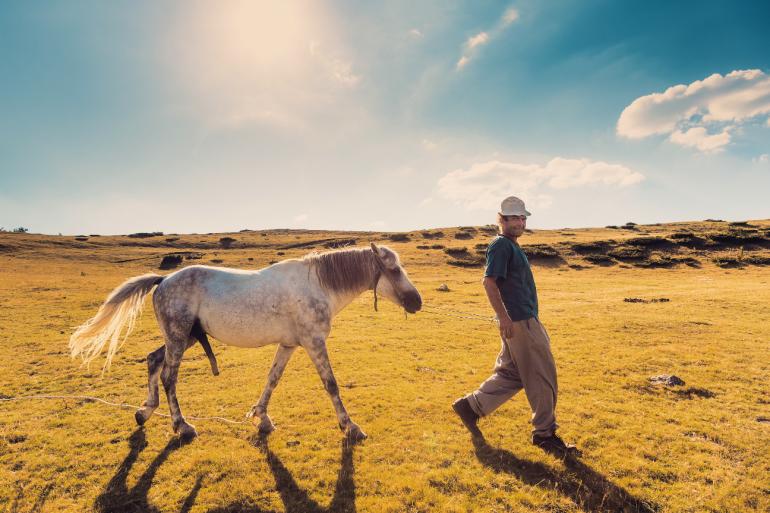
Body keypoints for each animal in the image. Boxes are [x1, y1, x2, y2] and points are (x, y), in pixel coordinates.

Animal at [67, 243, 420, 440]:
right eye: (394, 269)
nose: (417, 301)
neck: (319, 284)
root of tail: (163, 279)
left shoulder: (290, 344)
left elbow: (273, 378)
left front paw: (261, 417)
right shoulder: (314, 342)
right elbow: (331, 385)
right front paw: (350, 426)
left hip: (182, 338)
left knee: (154, 361)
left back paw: (145, 411)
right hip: (179, 338)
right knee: (168, 376)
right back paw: (182, 426)